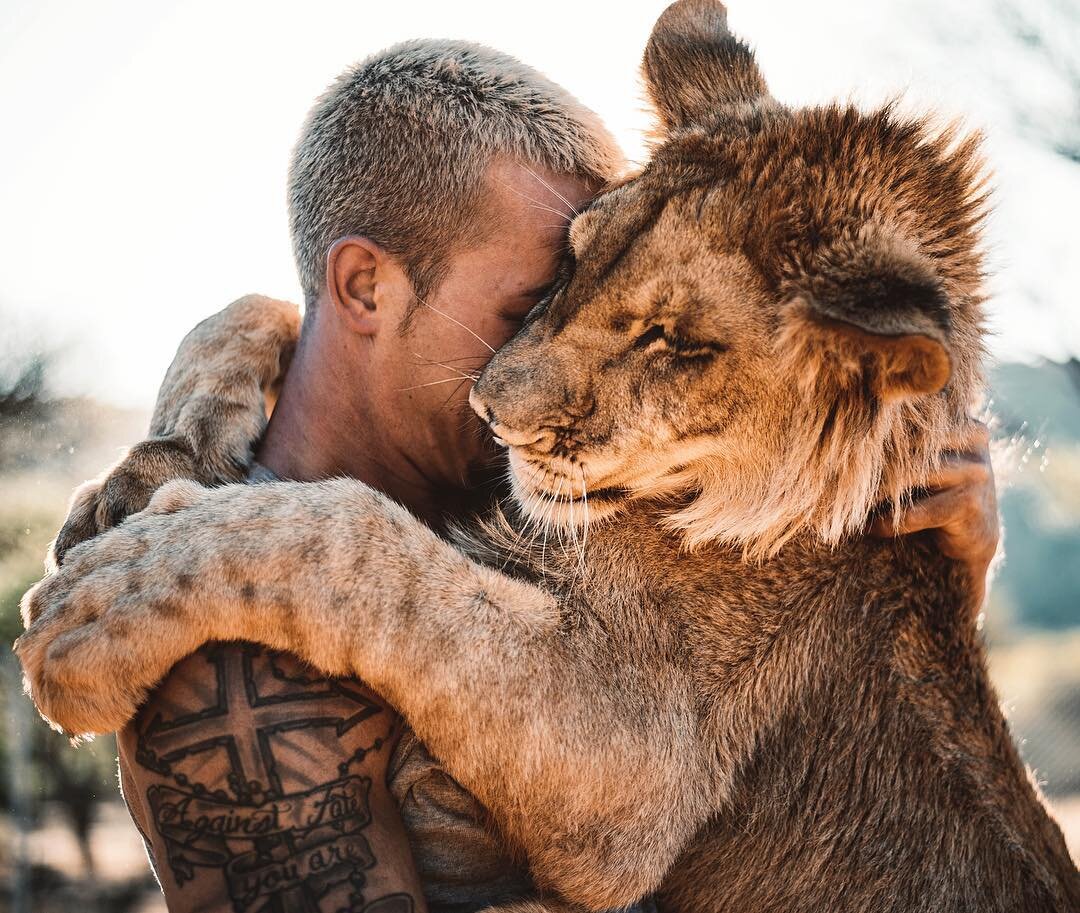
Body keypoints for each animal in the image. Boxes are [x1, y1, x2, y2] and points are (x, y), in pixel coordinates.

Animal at [19, 1, 1080, 911]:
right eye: (572, 260)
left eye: (674, 342)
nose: (493, 411)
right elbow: (249, 309)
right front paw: (137, 476)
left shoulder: (634, 752)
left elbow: (357, 542)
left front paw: (101, 607)